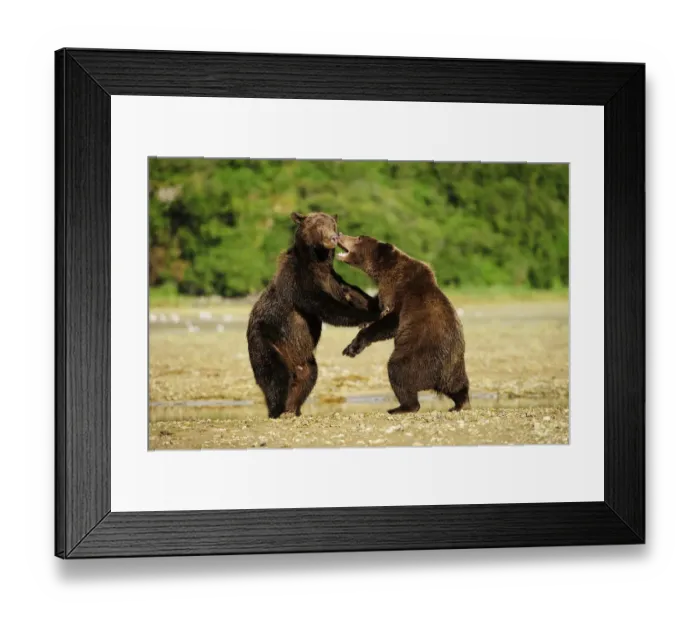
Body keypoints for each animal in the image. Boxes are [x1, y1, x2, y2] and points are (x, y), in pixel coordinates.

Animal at [246, 212, 380, 419]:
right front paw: (367, 317)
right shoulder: (299, 282)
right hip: (266, 342)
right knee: (275, 376)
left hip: (303, 358)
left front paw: (376, 306)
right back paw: (277, 410)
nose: (333, 238)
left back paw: (292, 408)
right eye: (318, 225)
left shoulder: (333, 280)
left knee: (308, 376)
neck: (317, 263)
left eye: (332, 224)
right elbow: (326, 307)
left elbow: (352, 293)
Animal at [336, 233, 470, 414]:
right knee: (458, 385)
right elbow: (373, 306)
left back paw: (401, 407)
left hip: (418, 357)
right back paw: (460, 403)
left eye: (359, 238)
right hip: (454, 367)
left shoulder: (402, 294)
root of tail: (436, 380)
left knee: (398, 372)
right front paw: (346, 288)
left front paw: (352, 347)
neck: (386, 272)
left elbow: (389, 323)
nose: (339, 234)